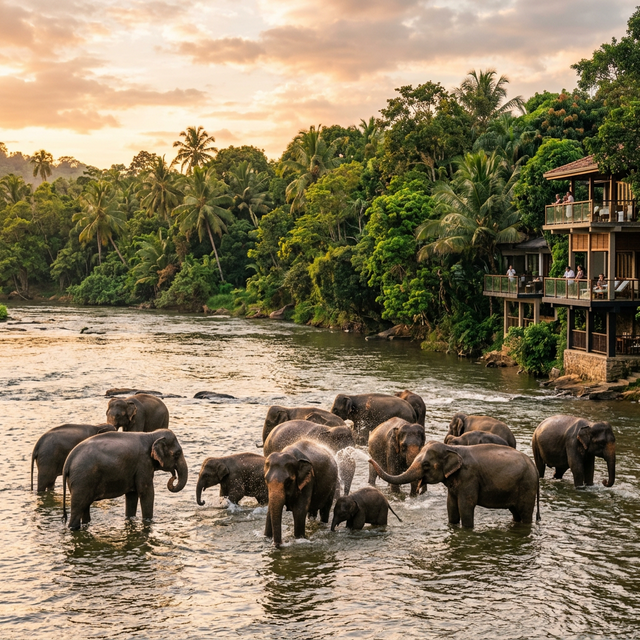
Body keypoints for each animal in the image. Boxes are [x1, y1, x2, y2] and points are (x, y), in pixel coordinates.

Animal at [369, 441, 540, 527]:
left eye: (426, 465)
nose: (369, 459)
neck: (452, 449)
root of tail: (535, 468)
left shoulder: (469, 477)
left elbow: (465, 506)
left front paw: (467, 529)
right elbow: (451, 505)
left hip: (527, 486)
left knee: (525, 513)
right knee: (516, 513)